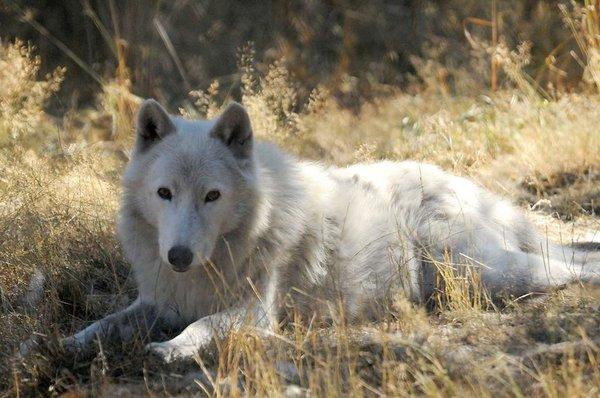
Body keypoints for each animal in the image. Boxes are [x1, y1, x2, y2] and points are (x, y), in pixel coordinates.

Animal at [41, 98, 596, 360]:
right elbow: (103, 323)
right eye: (164, 193)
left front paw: (172, 349)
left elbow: (201, 326)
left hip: (475, 273)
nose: (178, 256)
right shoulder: (158, 300)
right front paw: (63, 344)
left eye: (212, 196)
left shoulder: (256, 312)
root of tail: (469, 186)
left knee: (566, 265)